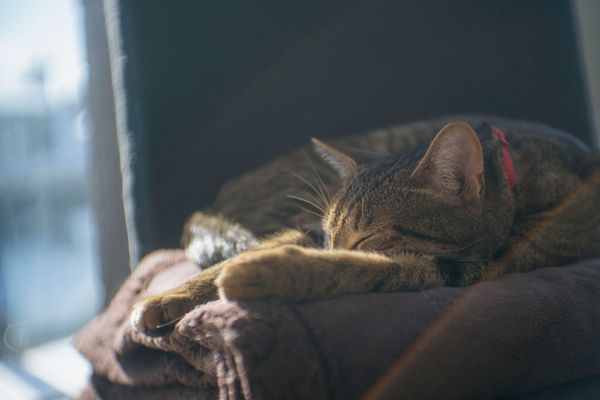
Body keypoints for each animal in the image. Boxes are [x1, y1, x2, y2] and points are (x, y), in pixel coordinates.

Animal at [131, 118, 600, 334]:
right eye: (330, 235)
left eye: (369, 236)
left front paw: (260, 273)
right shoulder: (309, 232)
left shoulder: (466, 265)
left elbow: (362, 268)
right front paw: (168, 297)